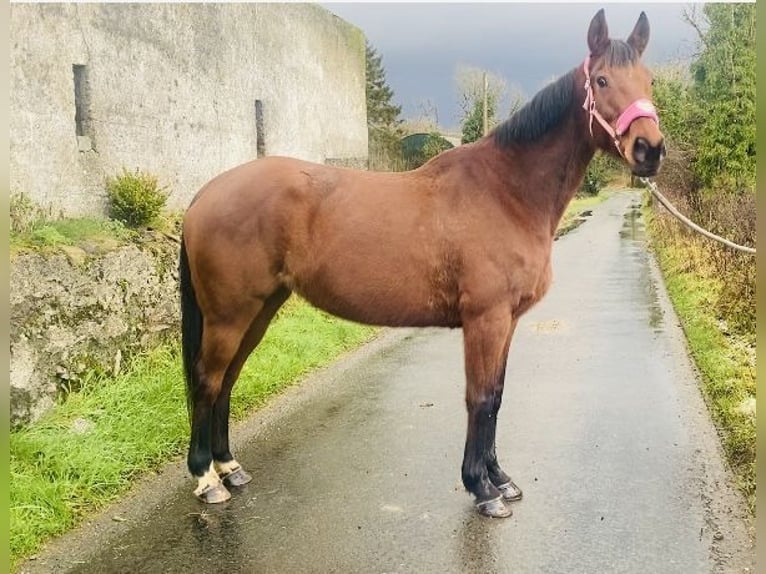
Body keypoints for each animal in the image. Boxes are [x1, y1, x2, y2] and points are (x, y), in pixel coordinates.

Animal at [180, 9, 664, 520]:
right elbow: (480, 398)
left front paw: (500, 478)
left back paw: (230, 467)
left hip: (259, 310)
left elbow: (497, 397)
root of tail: (206, 193)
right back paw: (207, 479)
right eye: (602, 79)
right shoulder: (485, 319)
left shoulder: (508, 321)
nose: (650, 150)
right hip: (230, 315)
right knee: (208, 380)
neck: (506, 192)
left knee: (227, 380)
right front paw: (482, 489)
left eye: (649, 79)